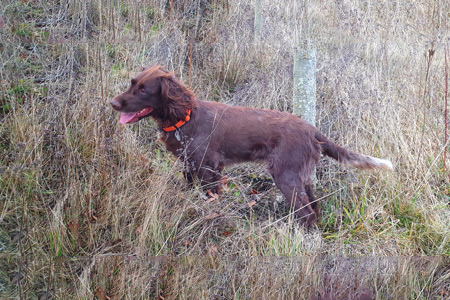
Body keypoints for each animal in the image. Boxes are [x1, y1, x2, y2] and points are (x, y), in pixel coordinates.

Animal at [110, 65, 392, 225]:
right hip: (302, 177)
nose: (113, 103)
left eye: (144, 90)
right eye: (132, 83)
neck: (184, 118)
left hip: (285, 175)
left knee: (307, 212)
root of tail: (312, 130)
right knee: (315, 207)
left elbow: (210, 197)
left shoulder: (208, 169)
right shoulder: (190, 166)